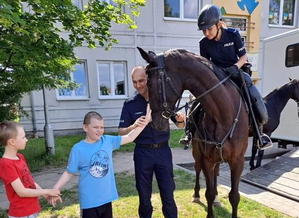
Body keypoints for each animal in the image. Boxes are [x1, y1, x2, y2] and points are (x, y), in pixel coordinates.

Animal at [139, 46, 251, 218]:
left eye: (150, 83)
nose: (155, 123)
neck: (223, 115)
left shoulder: (238, 161)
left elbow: (234, 196)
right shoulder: (206, 159)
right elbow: (208, 193)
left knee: (216, 173)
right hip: (198, 153)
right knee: (198, 170)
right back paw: (196, 195)